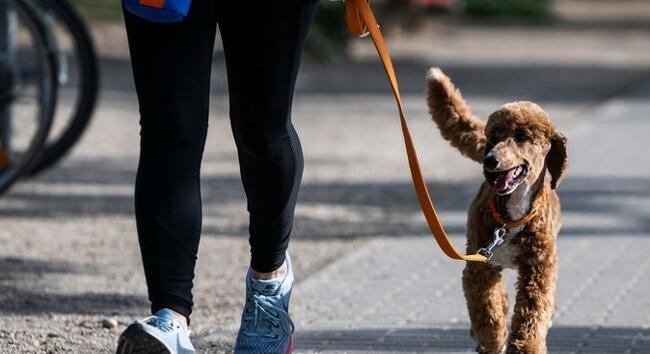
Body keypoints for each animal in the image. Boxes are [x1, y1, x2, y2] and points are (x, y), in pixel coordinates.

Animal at [422, 68, 564, 352]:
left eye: (521, 137)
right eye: (494, 137)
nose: (490, 160)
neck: (512, 219)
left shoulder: (538, 268)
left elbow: (532, 313)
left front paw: (526, 346)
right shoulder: (480, 268)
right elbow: (487, 312)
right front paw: (493, 339)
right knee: (498, 300)